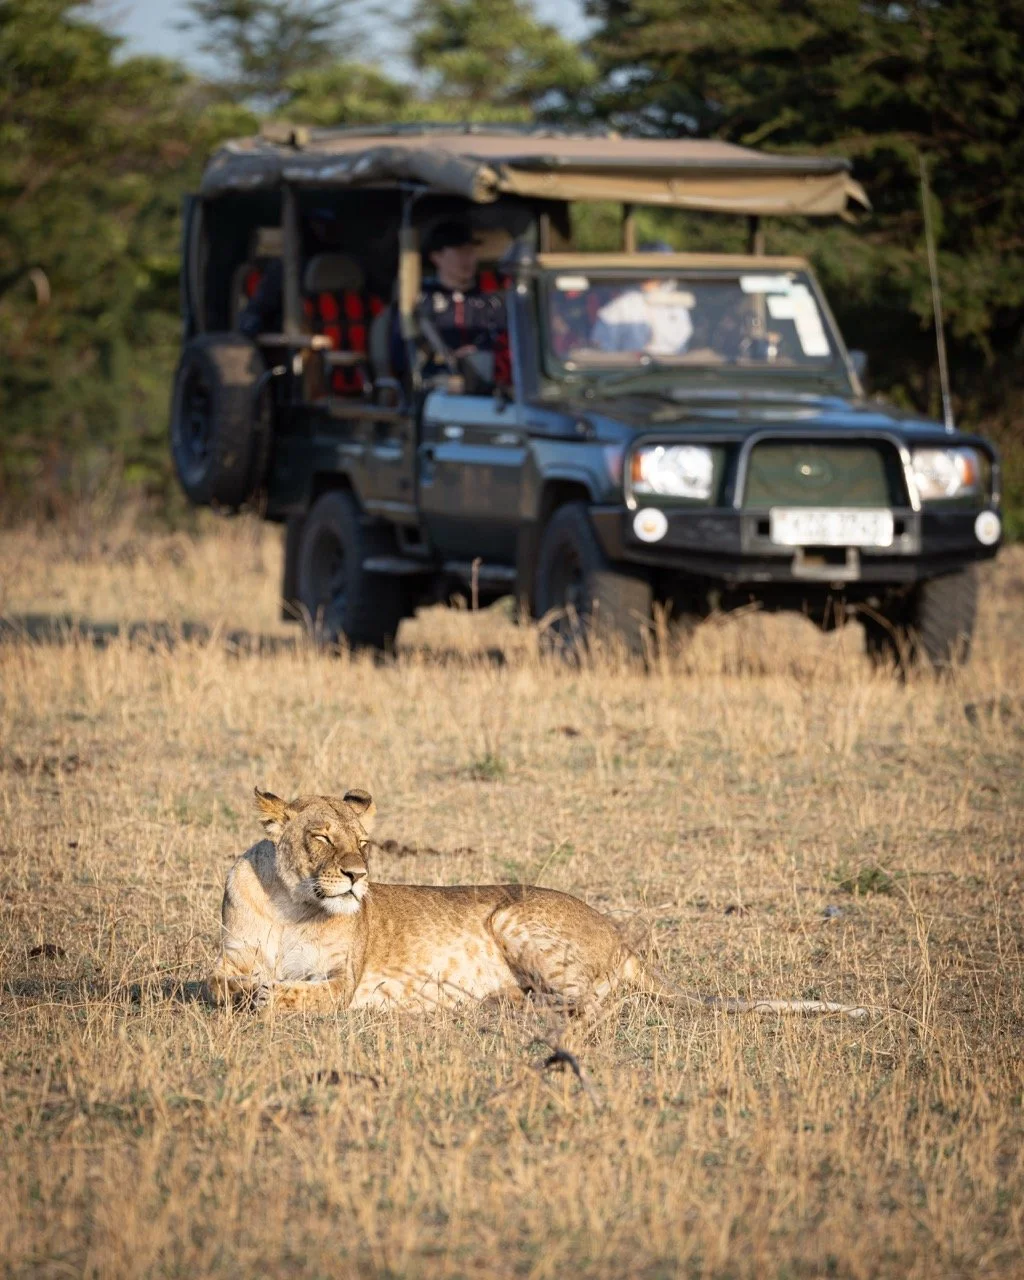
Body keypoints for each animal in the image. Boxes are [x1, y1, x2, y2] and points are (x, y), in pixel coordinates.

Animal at [208, 787, 867, 1018]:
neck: (294, 904)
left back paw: (505, 1005)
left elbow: (306, 993)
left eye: (364, 843)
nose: (356, 876)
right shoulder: (231, 954)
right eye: (321, 837)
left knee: (594, 1004)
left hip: (512, 915)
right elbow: (219, 982)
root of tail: (622, 936)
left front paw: (269, 996)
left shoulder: (343, 981)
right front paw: (246, 991)